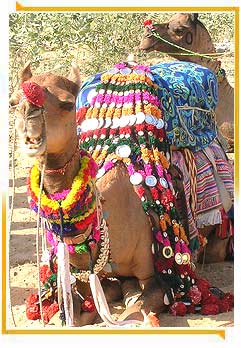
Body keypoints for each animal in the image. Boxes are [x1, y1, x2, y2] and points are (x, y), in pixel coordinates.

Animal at [9, 59, 233, 326]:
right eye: (13, 102)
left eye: (66, 104)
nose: (28, 116)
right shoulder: (82, 277)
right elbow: (69, 314)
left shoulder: (157, 279)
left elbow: (134, 312)